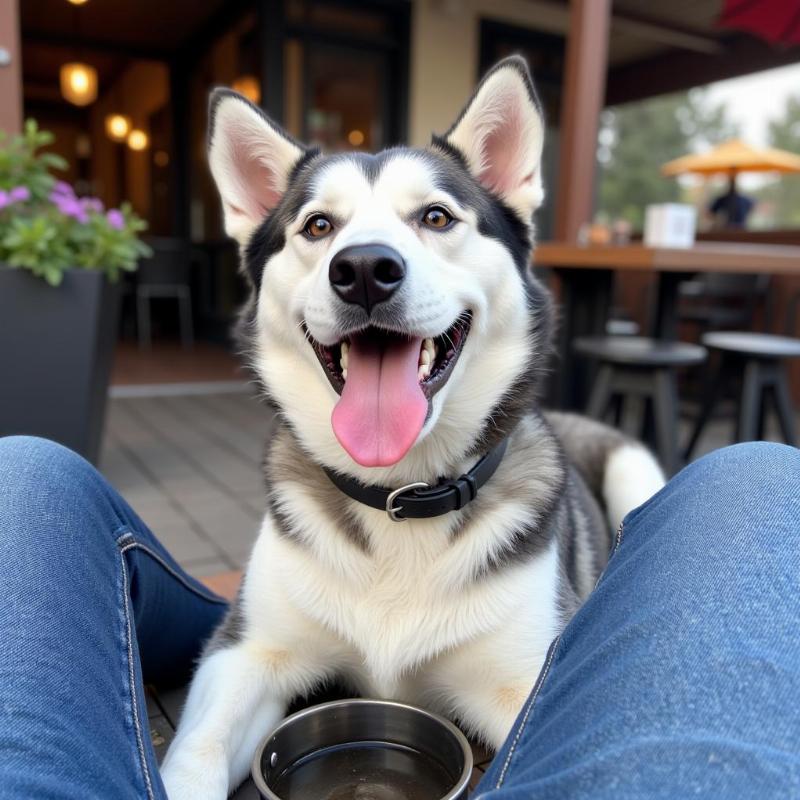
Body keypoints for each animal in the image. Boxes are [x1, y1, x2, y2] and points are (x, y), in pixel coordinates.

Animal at [161, 57, 664, 800]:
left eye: (435, 216)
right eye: (317, 226)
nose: (364, 268)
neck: (400, 497)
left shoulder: (527, 684)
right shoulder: (246, 649)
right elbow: (193, 754)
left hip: (636, 470)